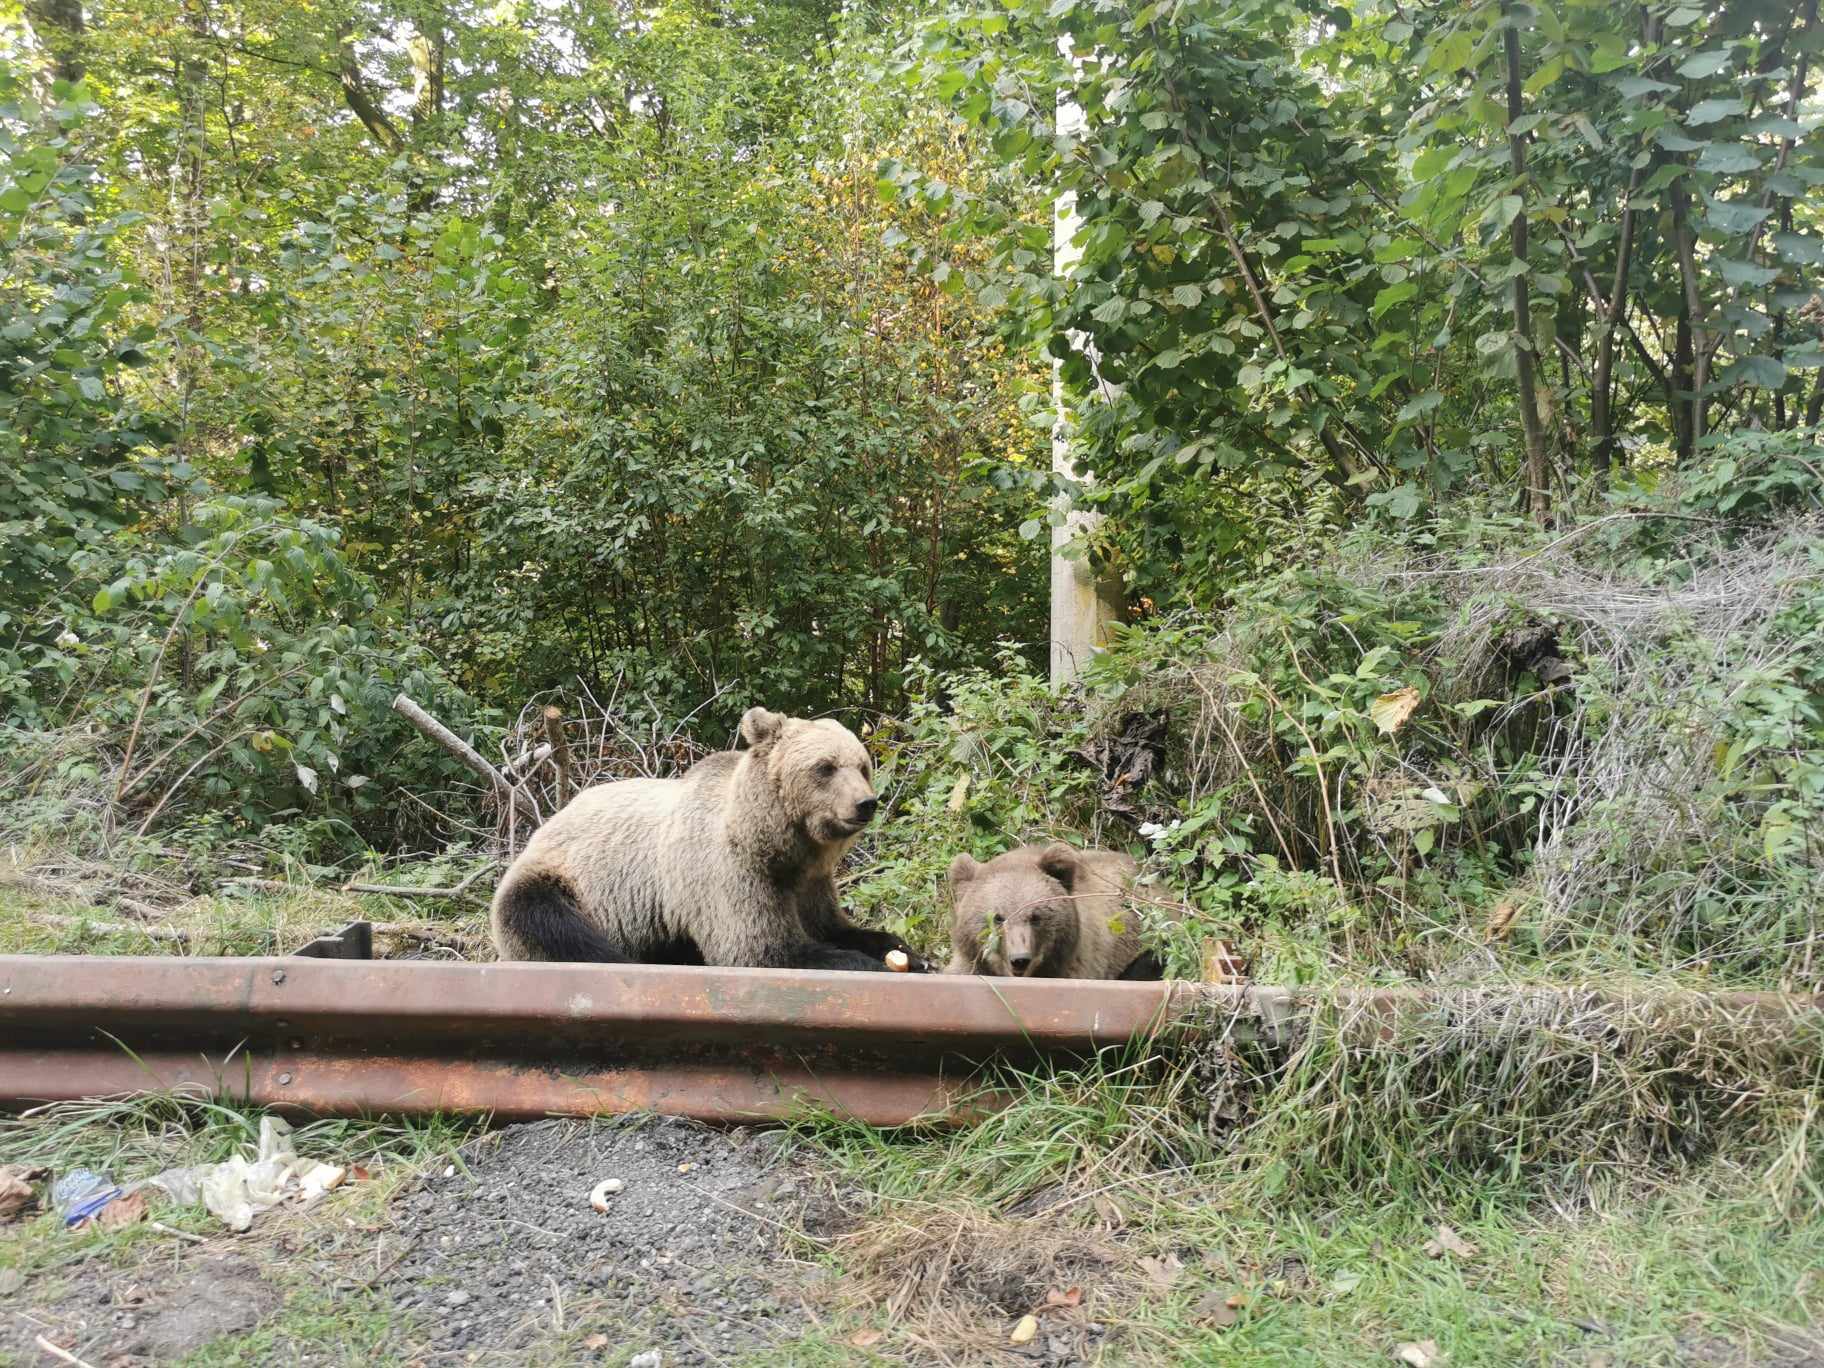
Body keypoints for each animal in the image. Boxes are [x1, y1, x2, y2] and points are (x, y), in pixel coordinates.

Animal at [488, 707, 919, 977]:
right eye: (825, 768)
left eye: (862, 766)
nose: (865, 803)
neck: (778, 841)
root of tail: (546, 824)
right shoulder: (728, 872)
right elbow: (762, 948)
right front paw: (870, 964)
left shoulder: (810, 881)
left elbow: (831, 926)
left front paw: (905, 952)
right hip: (569, 882)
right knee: (554, 927)